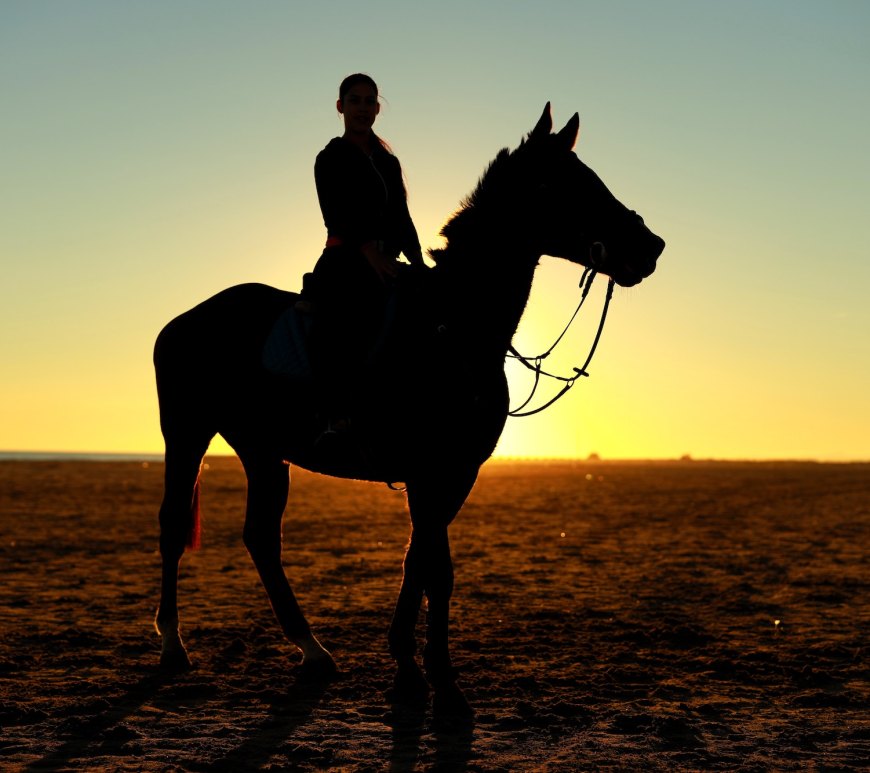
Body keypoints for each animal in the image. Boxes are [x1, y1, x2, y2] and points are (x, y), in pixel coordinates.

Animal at [153, 104, 665, 717]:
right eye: (564, 183)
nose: (651, 245)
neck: (452, 327)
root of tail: (184, 320)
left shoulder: (455, 473)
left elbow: (420, 561)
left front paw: (408, 665)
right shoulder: (429, 471)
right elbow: (435, 569)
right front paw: (441, 681)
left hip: (263, 451)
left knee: (261, 538)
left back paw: (312, 651)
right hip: (187, 433)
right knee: (173, 524)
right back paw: (173, 645)